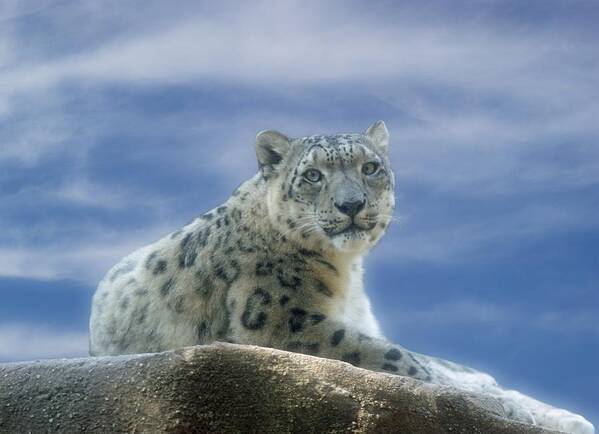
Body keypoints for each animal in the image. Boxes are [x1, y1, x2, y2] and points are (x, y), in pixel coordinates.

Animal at [90, 119, 596, 434]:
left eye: (370, 167)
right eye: (313, 175)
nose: (351, 205)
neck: (347, 272)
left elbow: (429, 362)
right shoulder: (285, 322)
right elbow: (400, 359)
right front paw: (501, 407)